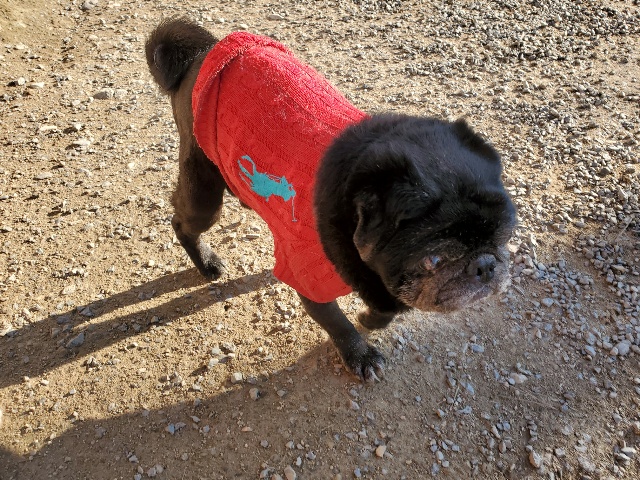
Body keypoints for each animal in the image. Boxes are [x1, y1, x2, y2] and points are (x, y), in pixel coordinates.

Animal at [145, 18, 516, 382]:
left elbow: (385, 308)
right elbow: (338, 323)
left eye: (503, 238)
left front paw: (370, 320)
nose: (485, 265)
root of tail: (203, 52)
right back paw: (206, 261)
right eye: (434, 260)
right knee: (182, 221)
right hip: (204, 193)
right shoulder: (310, 281)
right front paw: (360, 354)